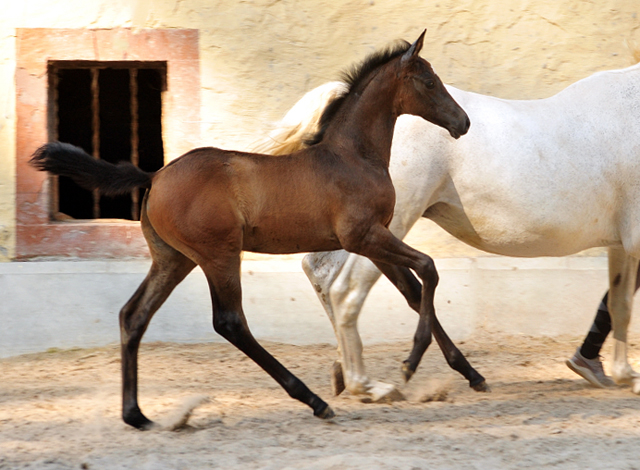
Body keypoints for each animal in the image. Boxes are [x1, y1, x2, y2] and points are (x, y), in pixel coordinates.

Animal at [255, 61, 640, 400]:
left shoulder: (622, 244)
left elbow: (618, 301)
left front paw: (607, 370)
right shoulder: (635, 240)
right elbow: (621, 302)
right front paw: (623, 375)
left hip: (361, 232)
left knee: (327, 273)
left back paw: (351, 372)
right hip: (384, 225)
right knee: (350, 288)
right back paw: (370, 384)